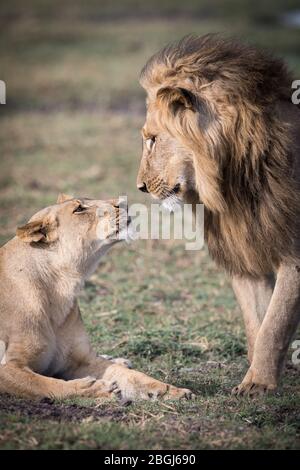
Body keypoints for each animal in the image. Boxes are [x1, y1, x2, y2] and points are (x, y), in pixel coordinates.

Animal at [0, 194, 192, 400]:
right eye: (79, 209)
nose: (122, 202)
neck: (59, 288)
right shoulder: (8, 366)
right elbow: (44, 384)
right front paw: (95, 388)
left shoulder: (82, 360)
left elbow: (132, 376)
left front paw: (172, 390)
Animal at [138, 35, 300, 396]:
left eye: (152, 139)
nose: (139, 186)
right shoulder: (244, 255)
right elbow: (258, 323)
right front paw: (257, 378)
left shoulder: (295, 253)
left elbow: (276, 323)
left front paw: (258, 384)